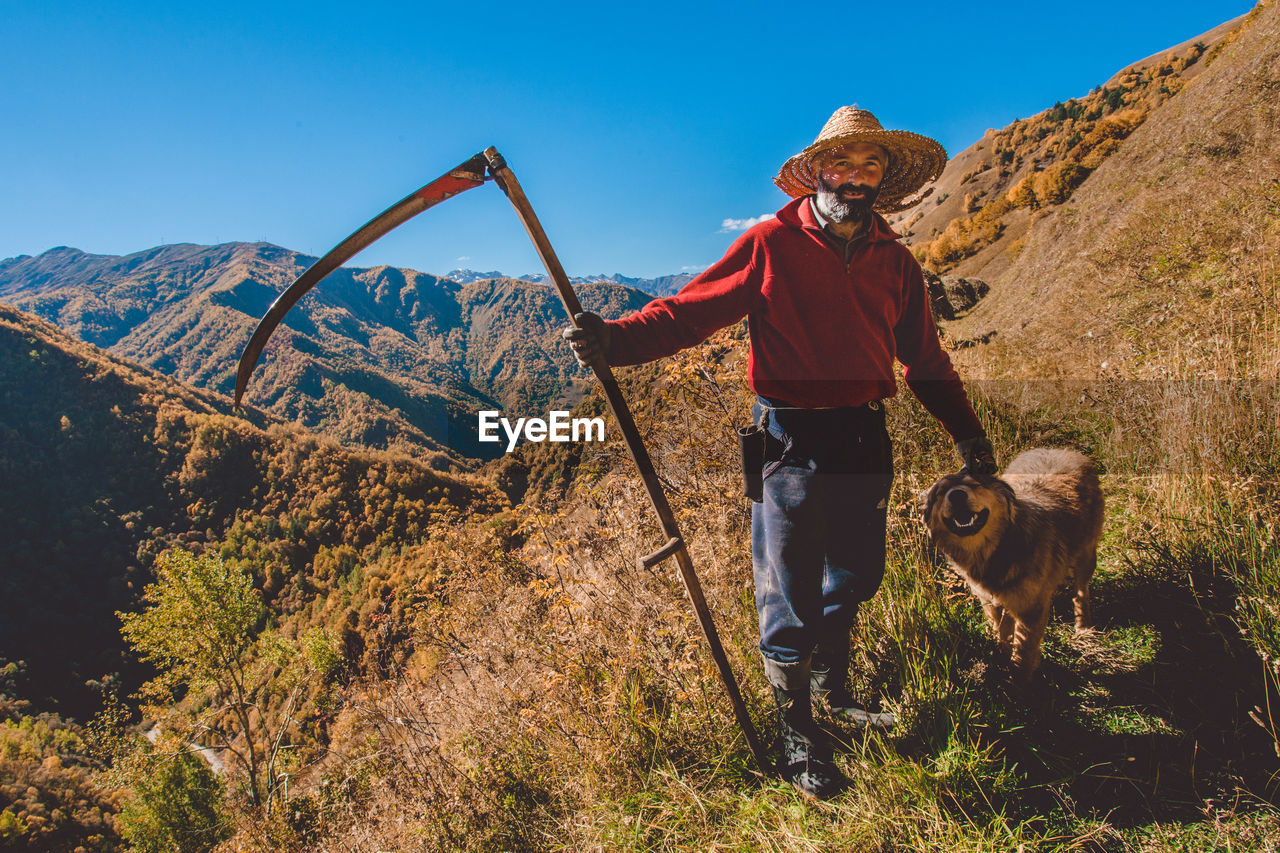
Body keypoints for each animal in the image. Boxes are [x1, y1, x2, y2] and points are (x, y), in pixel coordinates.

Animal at [926, 448, 1105, 681]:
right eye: (941, 492)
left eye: (974, 484)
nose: (956, 495)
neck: (997, 549)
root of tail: (1058, 450)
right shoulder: (990, 601)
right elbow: (1000, 633)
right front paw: (1000, 657)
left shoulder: (1030, 608)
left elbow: (1023, 651)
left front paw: (1017, 682)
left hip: (1086, 556)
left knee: (1081, 592)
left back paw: (1084, 627)